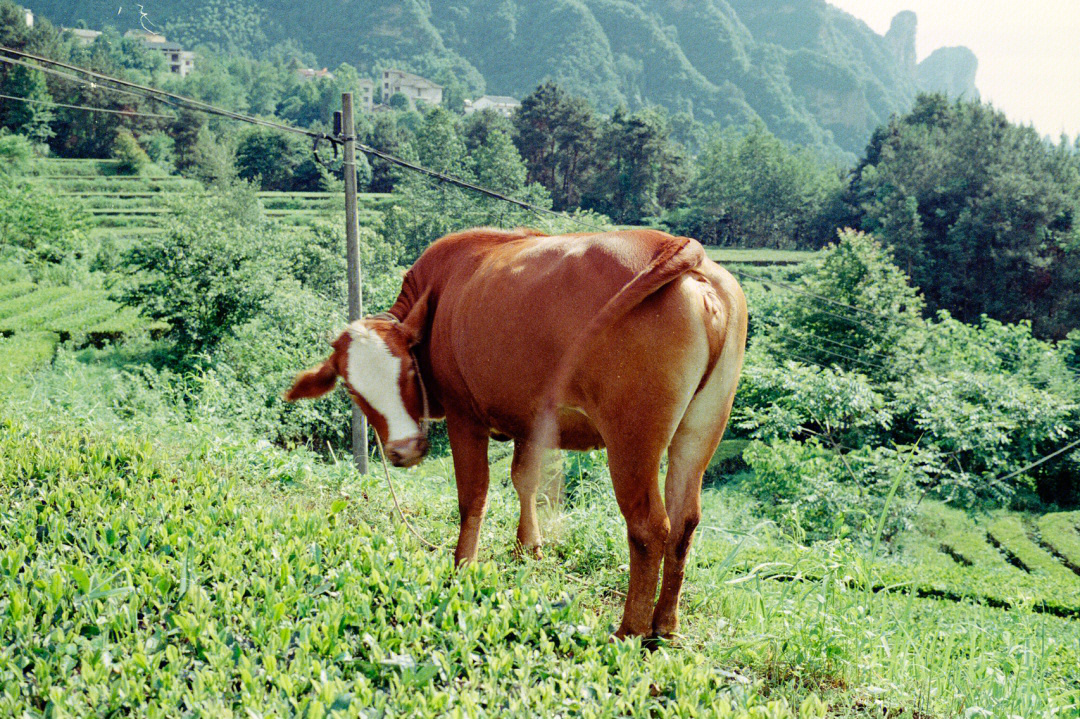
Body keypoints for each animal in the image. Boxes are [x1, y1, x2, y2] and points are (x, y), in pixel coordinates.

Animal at [282, 226, 747, 634]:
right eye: (353, 390)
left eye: (408, 373)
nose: (404, 450)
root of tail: (676, 247)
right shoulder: (531, 419)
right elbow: (525, 479)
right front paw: (528, 547)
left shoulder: (464, 416)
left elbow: (473, 496)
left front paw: (462, 567)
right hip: (701, 429)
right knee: (685, 522)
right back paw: (664, 626)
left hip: (632, 439)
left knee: (649, 528)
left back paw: (631, 630)